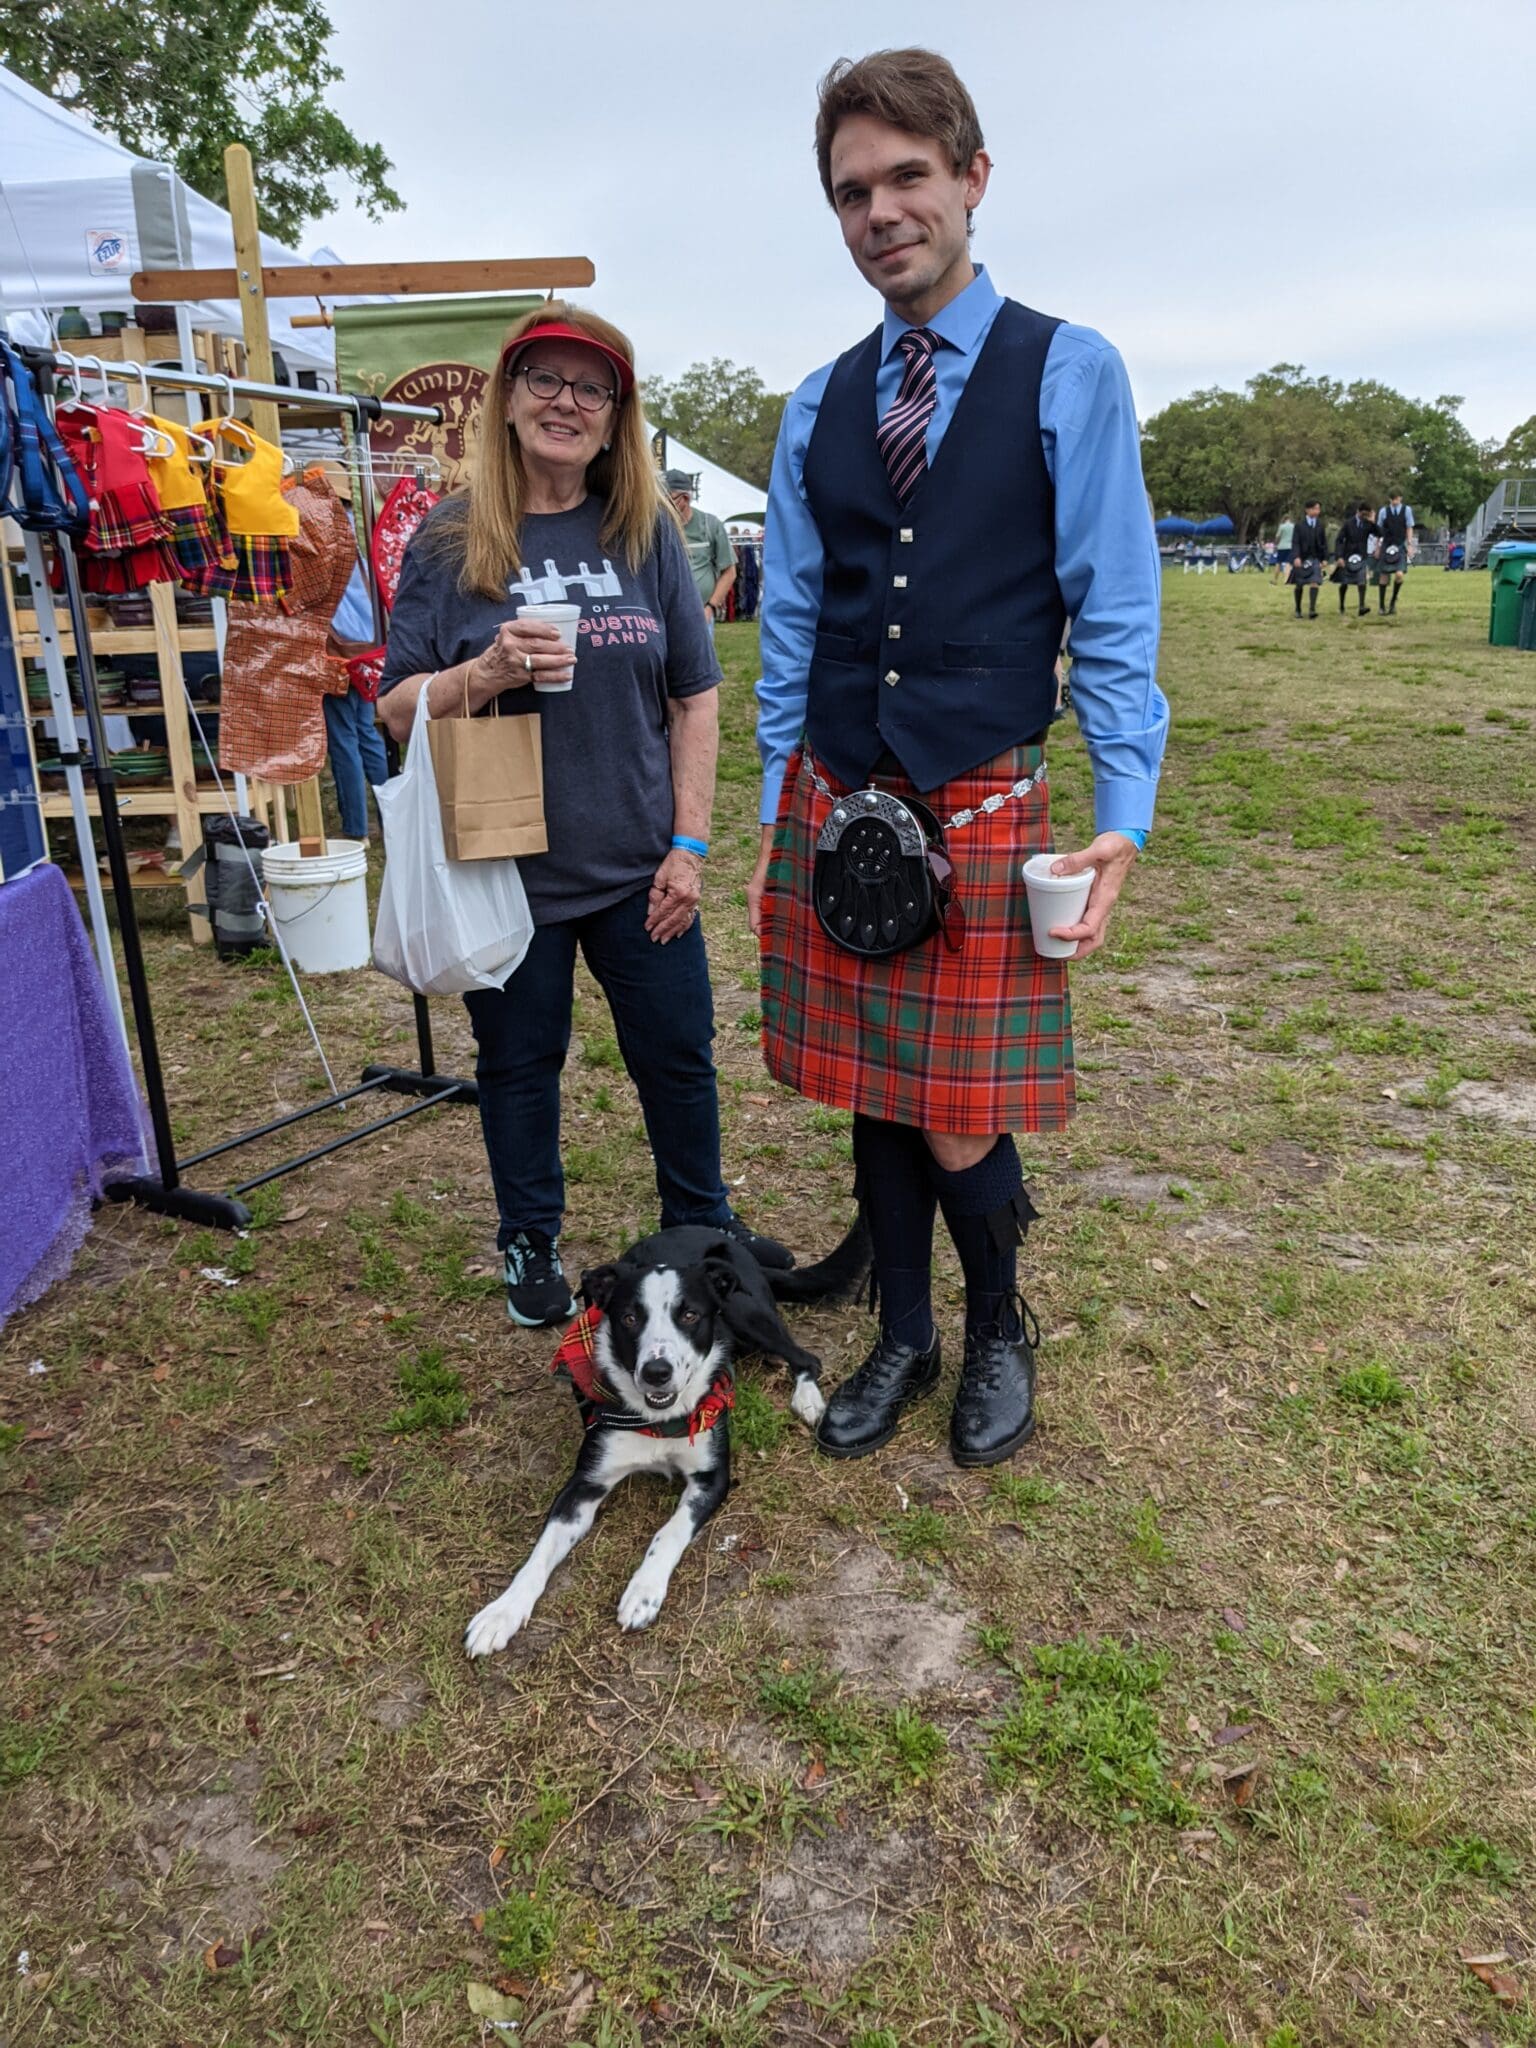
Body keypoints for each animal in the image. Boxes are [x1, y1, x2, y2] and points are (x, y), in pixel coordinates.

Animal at [462, 1220, 868, 1654]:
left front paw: (643, 1592)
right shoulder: (585, 1483)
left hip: (745, 1310)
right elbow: (539, 1553)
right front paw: (502, 1612)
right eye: (628, 1318)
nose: (656, 1372)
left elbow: (669, 1532)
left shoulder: (713, 1478)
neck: (657, 1418)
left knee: (806, 1357)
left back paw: (807, 1398)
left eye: (689, 1314)